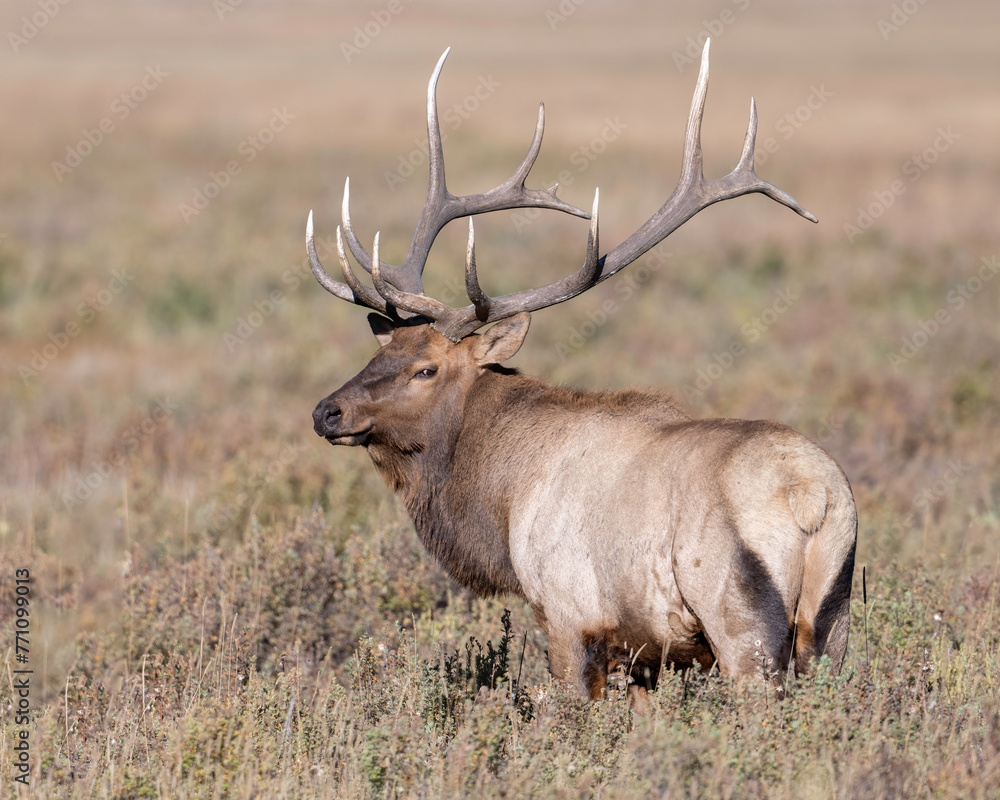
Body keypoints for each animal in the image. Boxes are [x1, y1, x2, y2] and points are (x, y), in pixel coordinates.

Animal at [307, 41, 857, 702]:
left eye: (426, 369)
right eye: (382, 351)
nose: (327, 411)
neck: (502, 497)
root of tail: (811, 497)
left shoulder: (570, 618)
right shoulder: (647, 653)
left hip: (741, 626)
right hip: (832, 625)